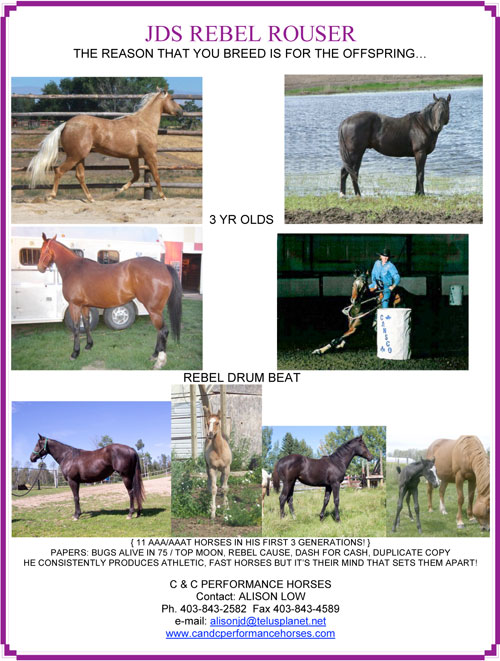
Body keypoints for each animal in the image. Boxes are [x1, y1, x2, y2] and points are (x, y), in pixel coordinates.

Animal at [27, 89, 183, 202]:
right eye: (172, 99)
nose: (182, 111)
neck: (144, 124)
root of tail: (66, 124)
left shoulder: (133, 157)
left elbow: (136, 176)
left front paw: (118, 190)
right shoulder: (150, 155)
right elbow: (156, 176)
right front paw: (163, 196)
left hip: (80, 157)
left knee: (80, 175)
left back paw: (91, 199)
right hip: (74, 156)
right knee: (59, 170)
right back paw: (51, 196)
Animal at [37, 233, 182, 369]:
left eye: (43, 250)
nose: (40, 268)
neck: (73, 269)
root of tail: (163, 266)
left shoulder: (75, 305)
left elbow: (76, 328)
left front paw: (75, 353)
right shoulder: (85, 306)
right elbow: (86, 324)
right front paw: (89, 345)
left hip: (153, 309)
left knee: (163, 331)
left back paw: (159, 361)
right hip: (156, 310)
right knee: (159, 331)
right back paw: (154, 355)